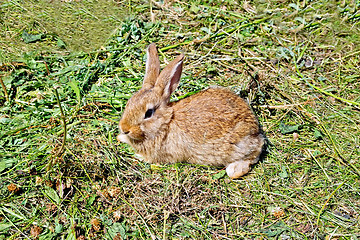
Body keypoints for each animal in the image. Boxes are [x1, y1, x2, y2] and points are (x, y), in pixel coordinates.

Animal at [118, 43, 264, 179]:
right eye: (129, 103)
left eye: (148, 113)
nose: (125, 128)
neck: (166, 122)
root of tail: (255, 130)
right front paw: (120, 137)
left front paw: (137, 154)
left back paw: (233, 170)